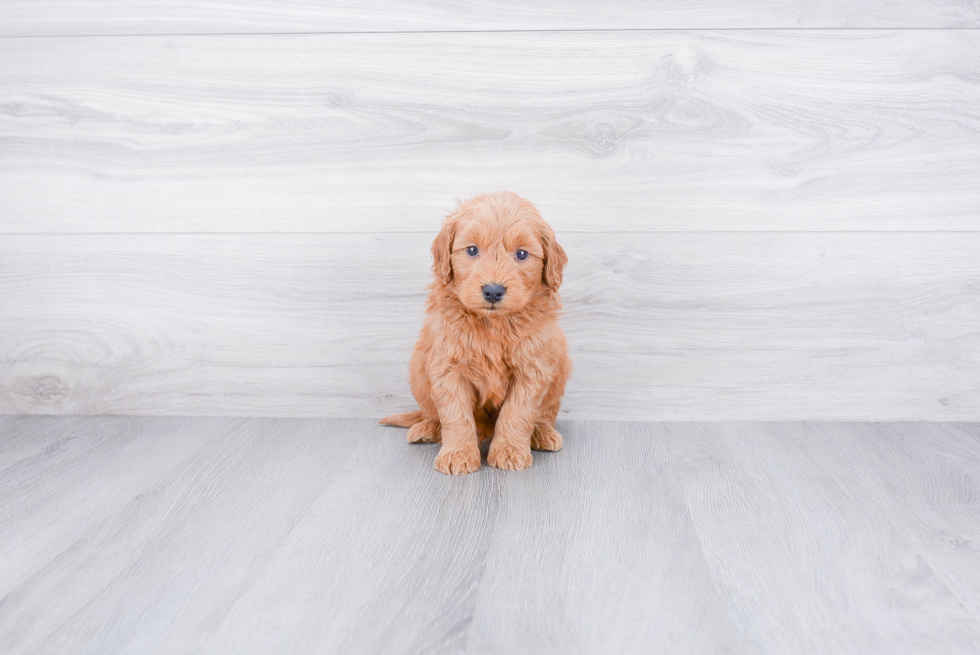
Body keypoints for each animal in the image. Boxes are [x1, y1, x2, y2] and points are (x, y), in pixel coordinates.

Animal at [378, 192, 572, 474]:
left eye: (522, 254)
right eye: (471, 250)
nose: (493, 291)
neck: (492, 325)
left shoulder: (532, 369)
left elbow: (518, 413)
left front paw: (509, 450)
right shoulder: (448, 368)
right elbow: (456, 415)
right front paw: (458, 454)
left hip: (560, 366)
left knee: (545, 413)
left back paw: (542, 433)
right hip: (418, 370)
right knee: (432, 413)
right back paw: (428, 428)